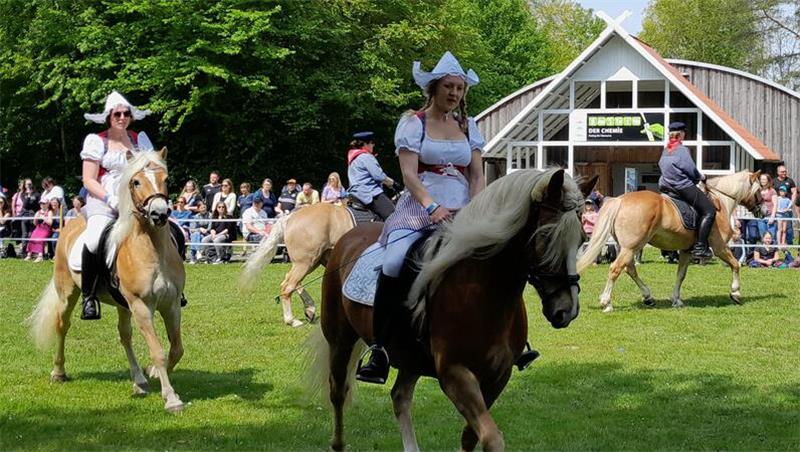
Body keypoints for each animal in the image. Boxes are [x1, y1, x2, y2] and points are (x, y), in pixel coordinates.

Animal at [27, 149, 187, 414]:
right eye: (136, 181)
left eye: (165, 178)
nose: (159, 213)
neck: (153, 250)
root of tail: (70, 223)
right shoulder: (142, 307)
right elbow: (158, 351)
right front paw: (172, 398)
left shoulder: (171, 305)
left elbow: (176, 348)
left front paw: (152, 372)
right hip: (68, 293)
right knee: (62, 325)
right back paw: (58, 372)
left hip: (123, 305)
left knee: (125, 335)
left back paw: (139, 381)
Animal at [310, 170, 596, 452]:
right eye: (546, 237)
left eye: (582, 239)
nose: (567, 309)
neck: (485, 293)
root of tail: (349, 237)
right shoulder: (454, 373)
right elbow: (491, 438)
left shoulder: (497, 376)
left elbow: (471, 436)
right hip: (340, 341)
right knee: (338, 391)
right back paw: (337, 443)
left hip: (410, 355)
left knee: (400, 397)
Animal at [580, 168, 760, 312]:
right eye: (759, 190)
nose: (761, 210)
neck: (721, 202)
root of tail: (620, 200)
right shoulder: (720, 247)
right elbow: (735, 265)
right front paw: (735, 292)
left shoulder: (686, 250)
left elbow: (680, 275)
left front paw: (676, 300)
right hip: (631, 247)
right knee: (615, 269)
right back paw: (607, 303)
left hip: (628, 247)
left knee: (630, 269)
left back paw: (648, 297)